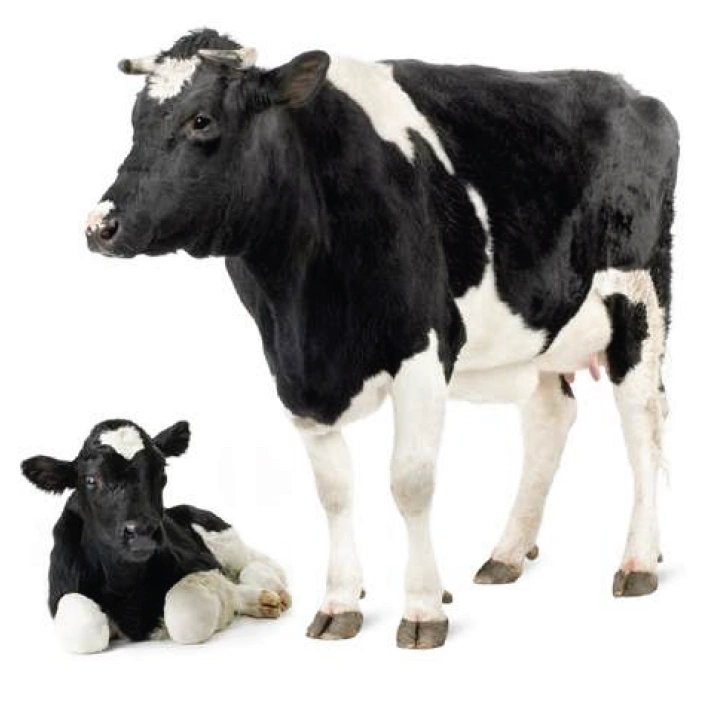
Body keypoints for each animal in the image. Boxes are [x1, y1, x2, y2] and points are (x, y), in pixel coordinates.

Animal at [22, 419, 290, 653]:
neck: (125, 583)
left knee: (251, 563)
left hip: (221, 535)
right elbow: (83, 628)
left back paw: (270, 587)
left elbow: (186, 615)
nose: (142, 531)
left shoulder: (202, 563)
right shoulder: (60, 591)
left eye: (161, 470)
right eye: (90, 479)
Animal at [85, 29, 679, 649]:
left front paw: (422, 607)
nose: (101, 226)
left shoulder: (423, 347)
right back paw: (508, 554)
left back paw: (639, 561)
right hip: (539, 329)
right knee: (550, 419)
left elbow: (410, 483)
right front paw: (341, 600)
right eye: (136, 120)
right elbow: (334, 491)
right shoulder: (293, 372)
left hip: (640, 301)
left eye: (201, 120)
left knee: (643, 424)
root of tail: (629, 90)